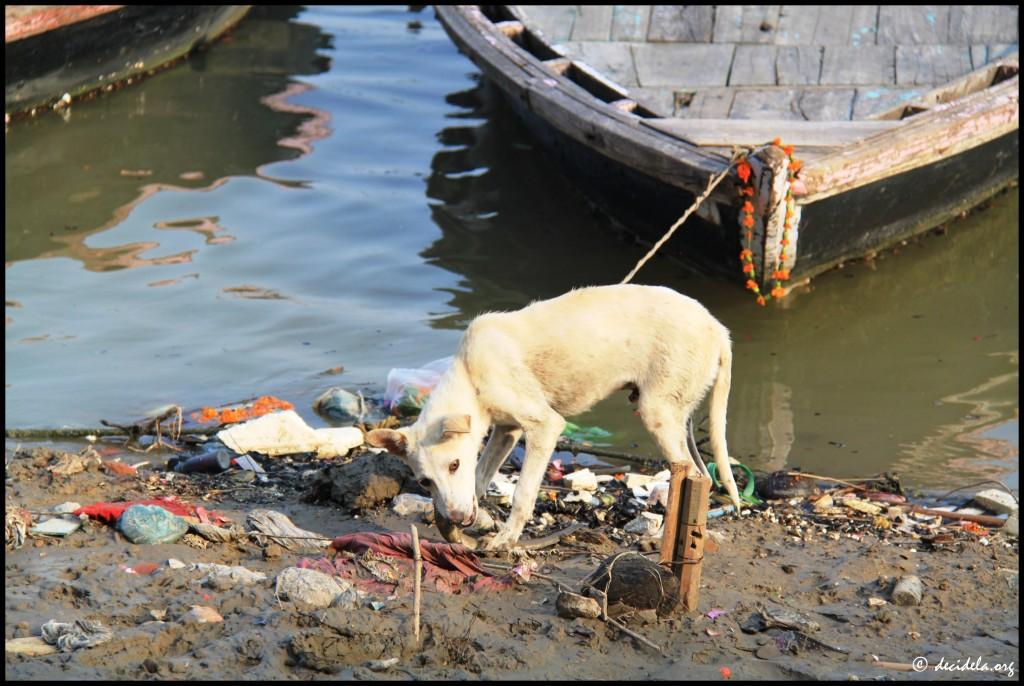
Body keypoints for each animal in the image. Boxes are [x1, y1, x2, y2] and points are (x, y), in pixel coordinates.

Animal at [366, 282, 737, 552]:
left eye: (454, 465)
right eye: (424, 482)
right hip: (679, 419)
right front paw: (469, 521)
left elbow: (522, 493)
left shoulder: (544, 426)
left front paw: (505, 539)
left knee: (687, 476)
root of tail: (718, 328)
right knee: (702, 476)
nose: (457, 518)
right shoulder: (506, 429)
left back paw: (661, 540)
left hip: (657, 413)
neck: (470, 376)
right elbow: (481, 479)